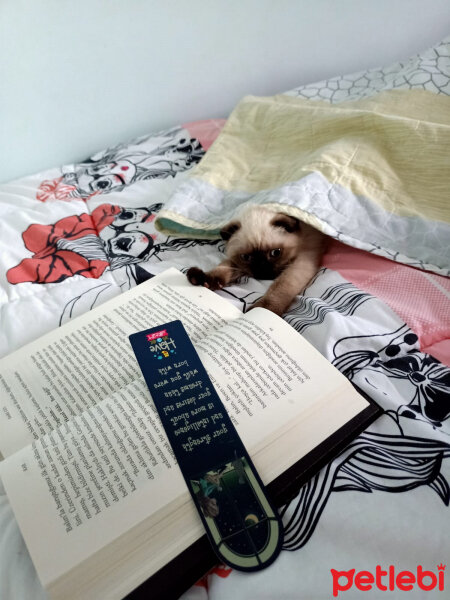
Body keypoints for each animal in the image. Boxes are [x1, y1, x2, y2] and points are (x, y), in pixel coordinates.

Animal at [186, 205, 326, 316]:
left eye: (275, 253)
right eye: (246, 257)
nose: (262, 272)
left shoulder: (303, 260)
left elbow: (281, 285)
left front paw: (263, 310)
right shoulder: (237, 263)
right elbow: (223, 267)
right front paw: (204, 280)